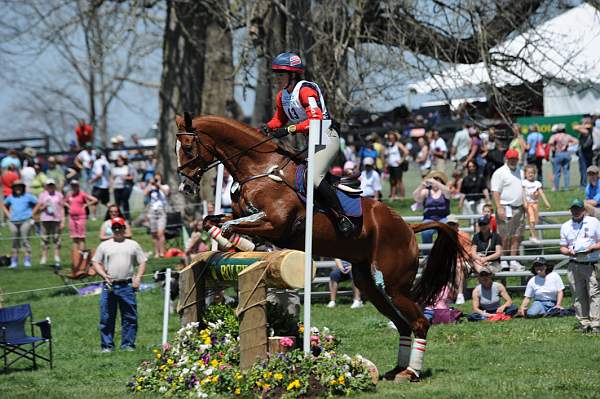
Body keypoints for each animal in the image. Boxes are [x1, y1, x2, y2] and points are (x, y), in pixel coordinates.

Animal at [173, 114, 468, 382]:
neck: (261, 169)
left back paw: (411, 372)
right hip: (372, 286)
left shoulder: (275, 225)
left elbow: (230, 225)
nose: (185, 186)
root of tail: (408, 227)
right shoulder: (244, 216)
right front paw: (238, 244)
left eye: (187, 147)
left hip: (393, 285)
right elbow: (212, 220)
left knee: (420, 323)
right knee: (403, 325)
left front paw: (245, 243)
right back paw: (396, 370)